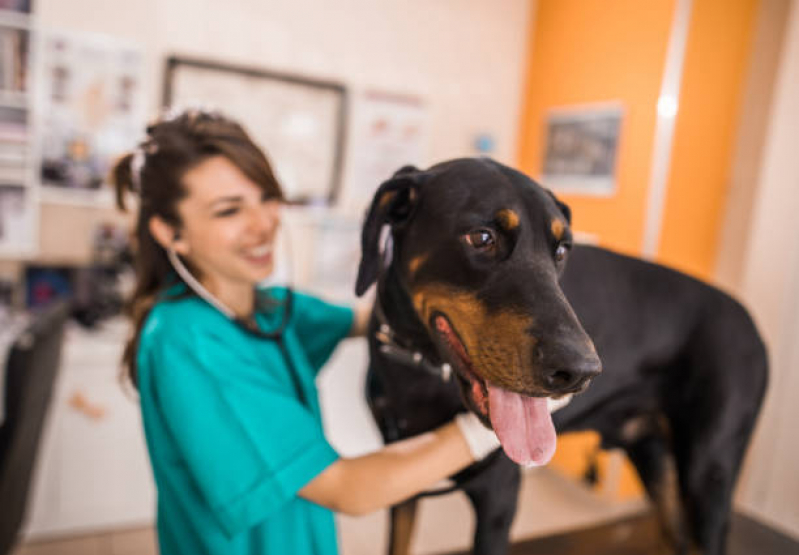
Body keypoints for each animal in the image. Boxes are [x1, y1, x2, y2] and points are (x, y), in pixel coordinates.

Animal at [356, 157, 768, 555]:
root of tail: (752, 323)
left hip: (708, 473)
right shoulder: (400, 479)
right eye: (482, 237)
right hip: (652, 454)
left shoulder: (499, 497)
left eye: (561, 250)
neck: (421, 367)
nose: (582, 371)